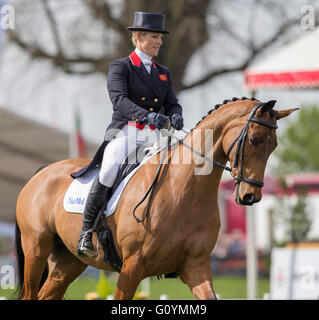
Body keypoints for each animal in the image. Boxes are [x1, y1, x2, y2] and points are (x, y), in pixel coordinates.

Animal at [14, 98, 298, 300]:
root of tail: (43, 172)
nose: (251, 196)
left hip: (68, 261)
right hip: (36, 249)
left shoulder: (196, 266)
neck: (184, 191)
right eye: (254, 139)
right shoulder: (132, 267)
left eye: (273, 146)